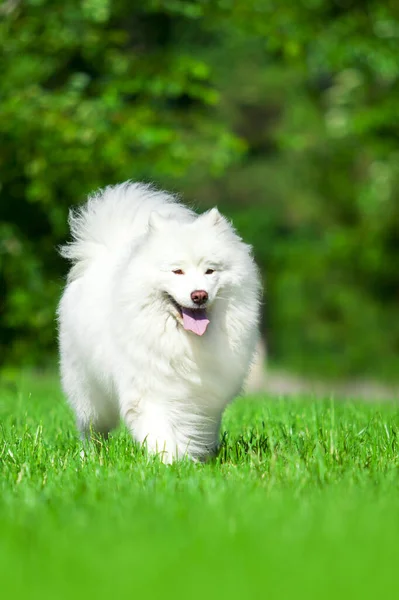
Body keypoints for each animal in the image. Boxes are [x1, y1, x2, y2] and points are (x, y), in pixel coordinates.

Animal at [57, 180, 262, 462]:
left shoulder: (205, 397)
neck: (186, 343)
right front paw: (170, 463)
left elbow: (201, 428)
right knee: (92, 428)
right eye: (177, 271)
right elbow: (161, 431)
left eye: (210, 270)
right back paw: (91, 455)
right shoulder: (150, 390)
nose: (199, 295)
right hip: (90, 394)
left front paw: (201, 457)